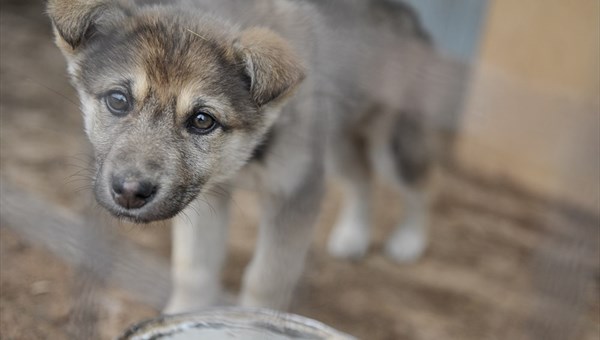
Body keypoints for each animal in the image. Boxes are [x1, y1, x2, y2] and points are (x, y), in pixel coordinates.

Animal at [47, 0, 440, 314]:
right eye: (118, 100)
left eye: (202, 120)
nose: (129, 192)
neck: (245, 157)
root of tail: (407, 13)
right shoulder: (207, 198)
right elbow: (194, 271)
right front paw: (182, 317)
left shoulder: (297, 193)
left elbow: (266, 279)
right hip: (338, 144)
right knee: (362, 179)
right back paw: (354, 235)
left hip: (392, 145)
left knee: (417, 188)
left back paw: (408, 241)